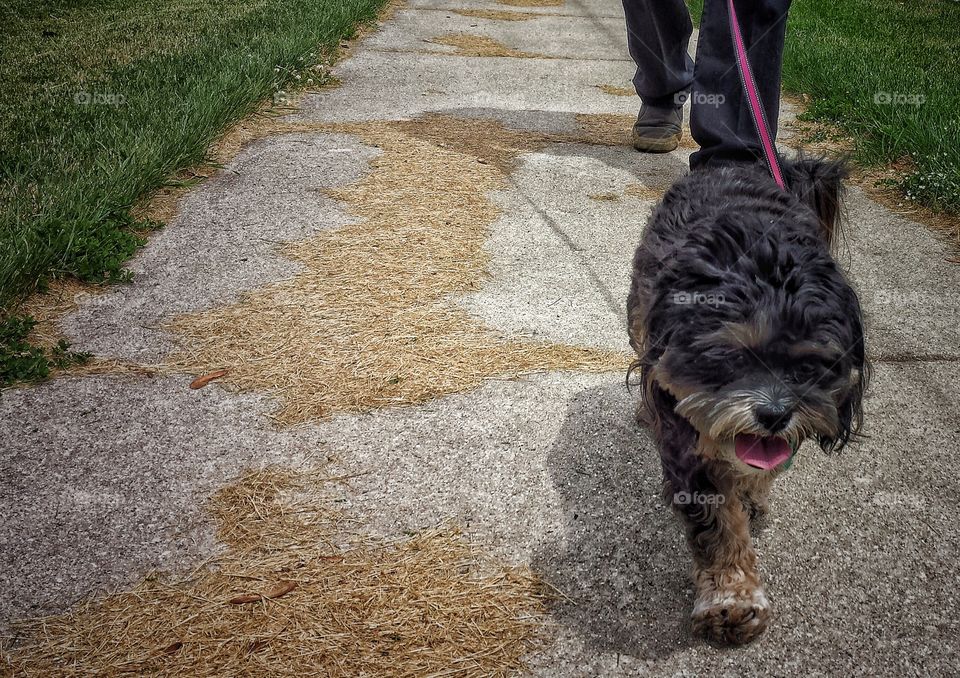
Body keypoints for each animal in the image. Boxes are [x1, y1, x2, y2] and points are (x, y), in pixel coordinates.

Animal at [632, 157, 872, 644]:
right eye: (730, 357)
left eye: (808, 365)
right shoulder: (691, 447)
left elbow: (761, 471)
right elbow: (720, 526)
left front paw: (752, 494)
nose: (774, 414)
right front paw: (731, 598)